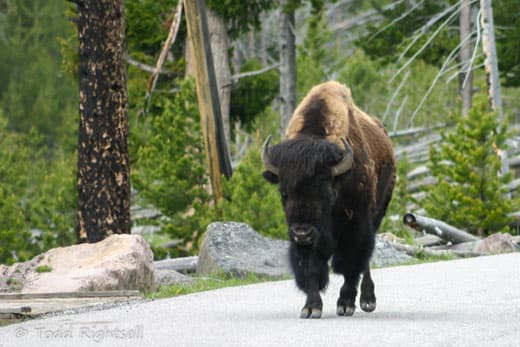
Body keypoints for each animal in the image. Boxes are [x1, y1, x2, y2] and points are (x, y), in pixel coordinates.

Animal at [262, 81, 396, 320]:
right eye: (283, 192)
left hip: (377, 213)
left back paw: (367, 301)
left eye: (325, 192)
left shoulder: (356, 225)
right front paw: (311, 308)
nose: (302, 233)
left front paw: (345, 305)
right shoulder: (305, 244)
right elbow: (311, 269)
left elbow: (350, 265)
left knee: (364, 261)